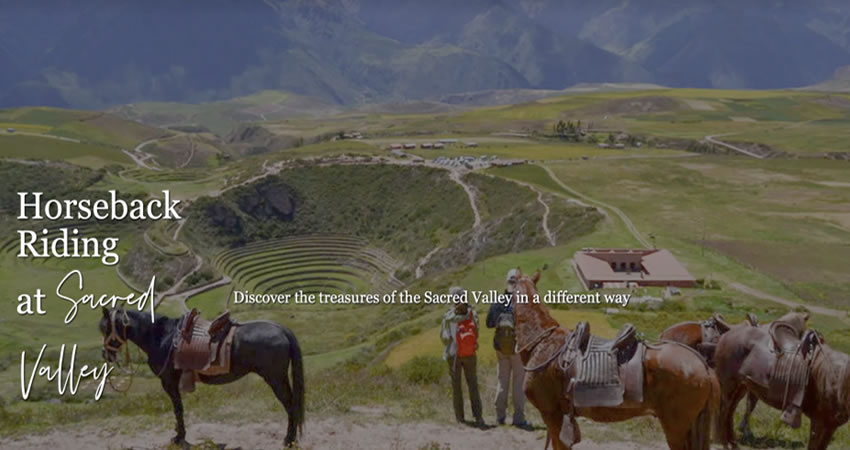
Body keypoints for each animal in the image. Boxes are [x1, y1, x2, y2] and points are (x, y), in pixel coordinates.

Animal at [99, 308, 304, 444]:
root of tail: (281, 329)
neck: (163, 336)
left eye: (106, 327)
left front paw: (180, 437)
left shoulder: (169, 382)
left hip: (275, 379)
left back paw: (288, 439)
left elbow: (178, 409)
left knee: (290, 405)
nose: (106, 355)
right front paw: (178, 433)